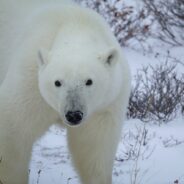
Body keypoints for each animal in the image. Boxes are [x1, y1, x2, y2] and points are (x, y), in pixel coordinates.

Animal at [0, 0, 131, 184]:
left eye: (89, 81)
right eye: (57, 82)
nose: (73, 115)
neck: (76, 24)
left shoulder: (106, 103)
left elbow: (94, 147)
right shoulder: (30, 82)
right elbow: (13, 133)